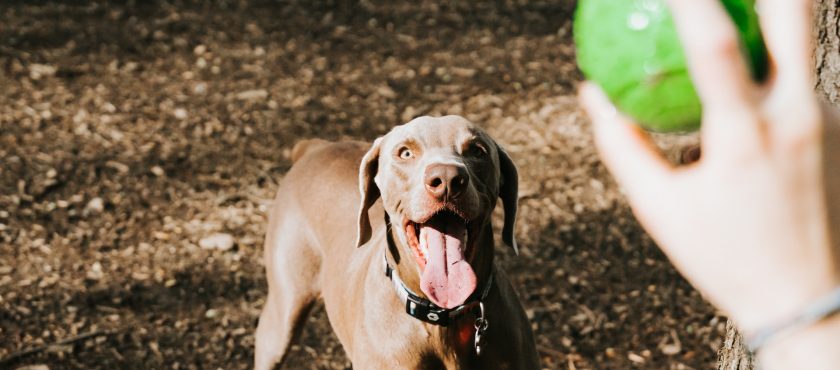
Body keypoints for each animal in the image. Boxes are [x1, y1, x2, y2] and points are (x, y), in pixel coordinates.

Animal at [254, 115, 540, 370]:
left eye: (478, 151)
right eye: (405, 153)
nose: (447, 179)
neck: (442, 319)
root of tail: (315, 147)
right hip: (281, 315)